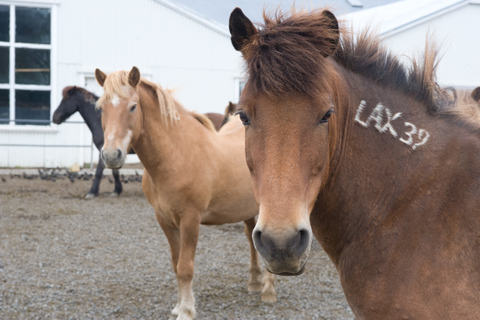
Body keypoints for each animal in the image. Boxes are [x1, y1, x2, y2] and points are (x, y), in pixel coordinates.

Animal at [53, 86, 226, 199]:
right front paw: (117, 190)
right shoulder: (112, 152)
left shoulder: (106, 150)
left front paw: (92, 192)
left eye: (65, 100)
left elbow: (99, 172)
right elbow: (115, 172)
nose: (54, 117)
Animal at [94, 66, 276, 318]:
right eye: (101, 108)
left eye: (132, 106)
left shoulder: (190, 220)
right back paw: (254, 283)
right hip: (247, 209)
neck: (176, 154)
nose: (112, 156)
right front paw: (179, 306)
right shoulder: (165, 221)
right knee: (251, 239)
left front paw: (187, 310)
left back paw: (268, 290)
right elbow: (176, 263)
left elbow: (185, 267)